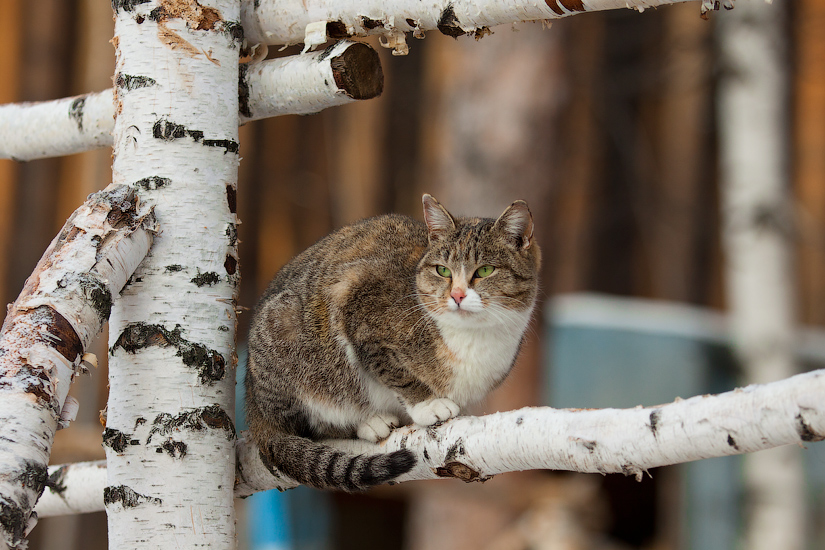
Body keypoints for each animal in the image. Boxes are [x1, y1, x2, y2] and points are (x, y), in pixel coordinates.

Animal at [245, 194, 540, 492]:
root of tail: (252, 397)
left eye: (485, 270)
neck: (472, 336)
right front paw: (427, 404)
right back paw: (368, 422)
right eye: (442, 270)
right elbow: (395, 371)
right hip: (286, 331)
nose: (456, 295)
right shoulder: (357, 308)